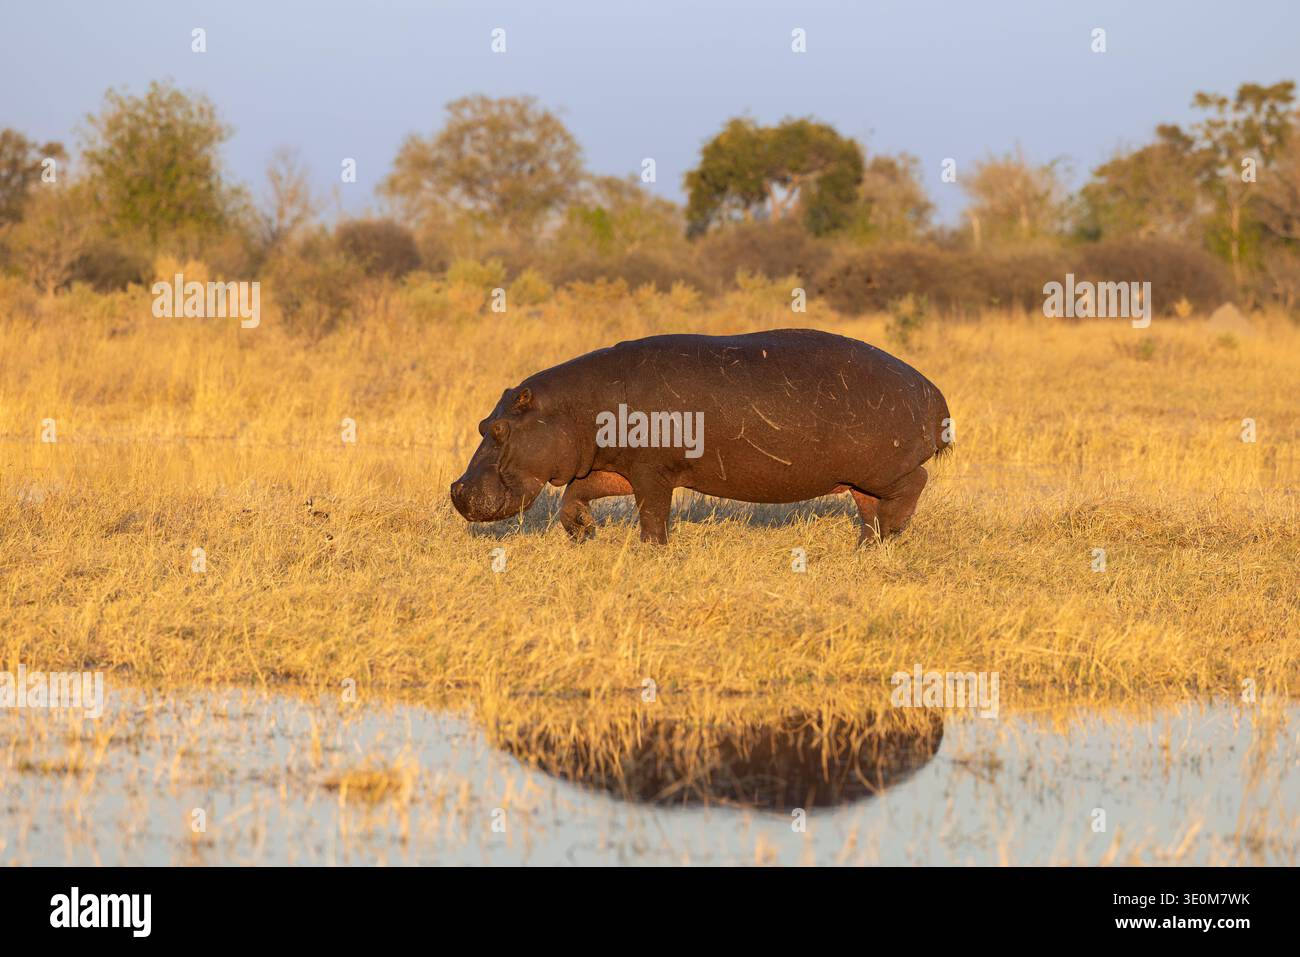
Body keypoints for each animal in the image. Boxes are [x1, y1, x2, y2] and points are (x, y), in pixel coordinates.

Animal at [450, 329, 951, 545]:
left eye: (500, 430)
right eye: (481, 426)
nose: (456, 490)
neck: (573, 409)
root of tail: (934, 394)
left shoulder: (652, 471)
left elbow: (653, 514)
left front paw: (652, 552)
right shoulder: (613, 466)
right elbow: (575, 496)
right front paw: (584, 533)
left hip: (886, 469)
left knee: (915, 484)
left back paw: (892, 531)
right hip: (859, 478)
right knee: (867, 509)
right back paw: (870, 544)